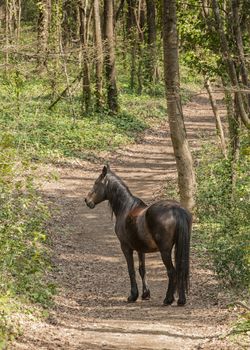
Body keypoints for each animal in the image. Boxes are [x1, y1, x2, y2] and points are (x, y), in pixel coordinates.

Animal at [85, 165, 192, 304]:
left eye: (96, 183)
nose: (87, 200)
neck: (125, 208)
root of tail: (176, 210)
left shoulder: (126, 247)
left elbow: (131, 270)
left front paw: (133, 295)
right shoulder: (141, 249)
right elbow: (142, 270)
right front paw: (145, 294)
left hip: (165, 251)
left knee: (172, 272)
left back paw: (168, 299)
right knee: (180, 270)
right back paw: (181, 300)